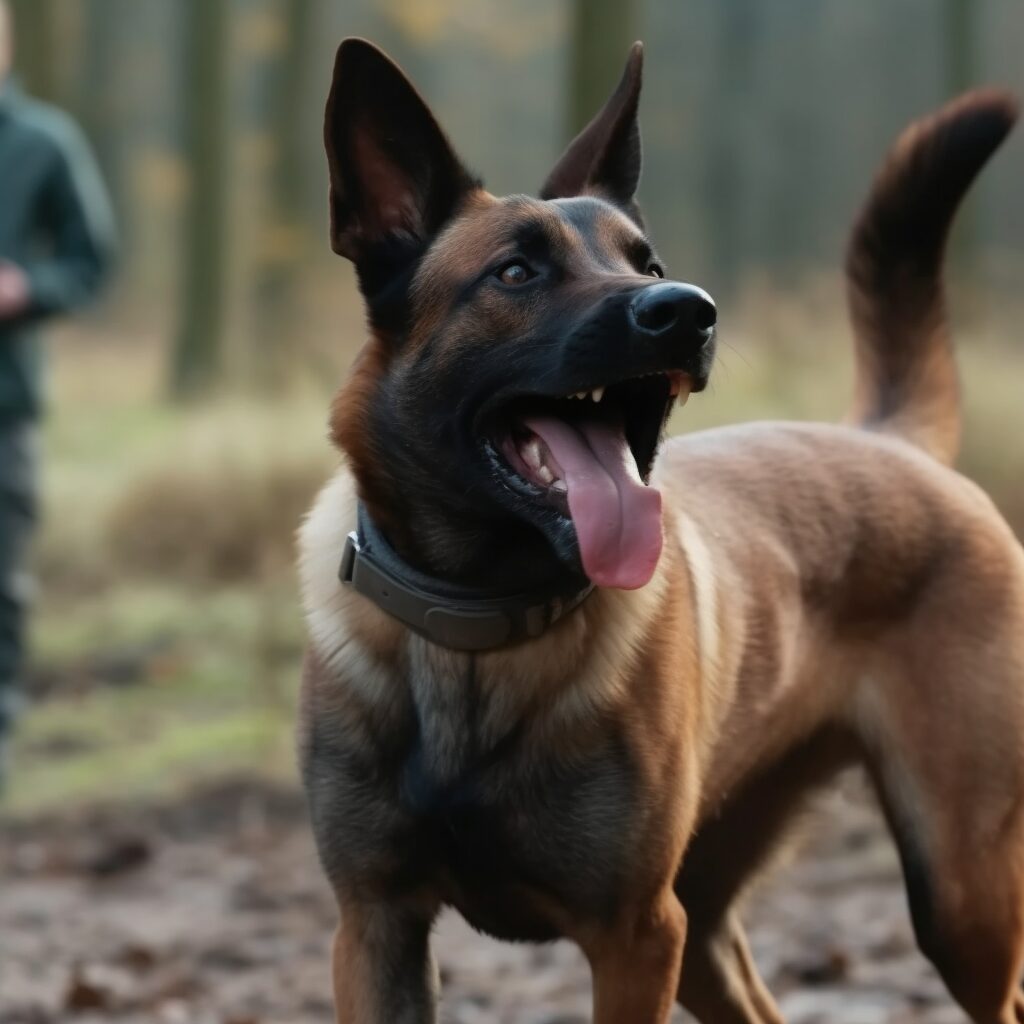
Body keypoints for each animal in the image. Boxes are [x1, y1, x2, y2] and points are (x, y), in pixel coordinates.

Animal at [299, 37, 1024, 1024]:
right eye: (515, 273)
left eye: (647, 265)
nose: (686, 309)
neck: (482, 631)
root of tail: (887, 440)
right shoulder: (375, 927)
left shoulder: (636, 936)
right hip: (713, 923)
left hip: (958, 893)